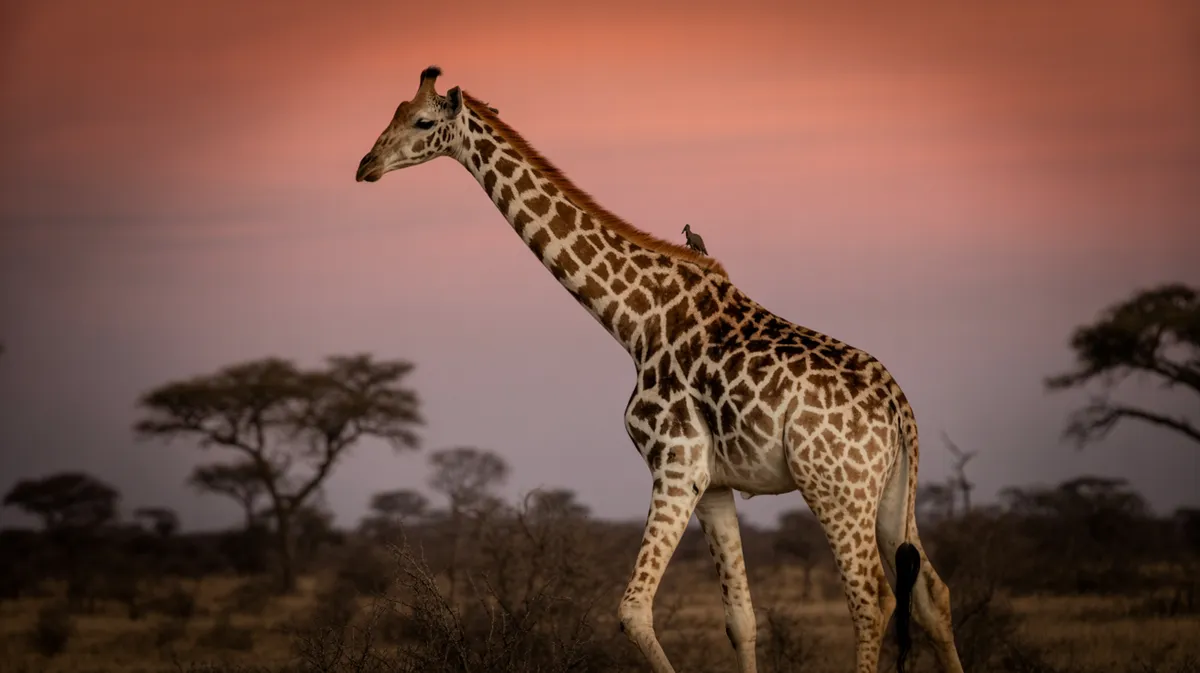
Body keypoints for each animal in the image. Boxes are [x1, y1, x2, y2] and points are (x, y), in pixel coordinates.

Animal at [354, 66, 965, 673]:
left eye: (423, 121)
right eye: (394, 113)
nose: (366, 166)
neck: (634, 319)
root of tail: (898, 408)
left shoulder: (675, 463)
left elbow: (632, 611)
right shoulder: (714, 483)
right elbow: (740, 620)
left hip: (836, 488)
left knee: (873, 599)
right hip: (891, 493)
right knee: (931, 594)